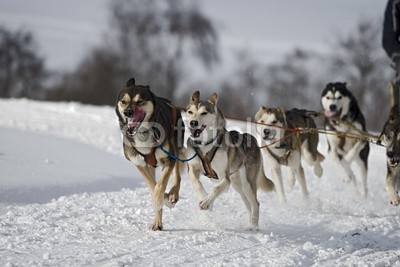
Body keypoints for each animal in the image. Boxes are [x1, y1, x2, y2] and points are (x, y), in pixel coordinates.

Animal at [115, 77, 185, 230]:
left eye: (140, 101)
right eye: (123, 101)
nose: (127, 112)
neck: (143, 133)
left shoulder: (168, 159)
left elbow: (160, 185)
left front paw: (163, 198)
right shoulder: (139, 163)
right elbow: (153, 186)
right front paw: (161, 200)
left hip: (176, 148)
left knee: (177, 174)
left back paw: (172, 195)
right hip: (150, 165)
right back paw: (157, 222)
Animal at [185, 91, 276, 229]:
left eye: (204, 113)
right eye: (190, 112)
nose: (193, 123)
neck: (205, 144)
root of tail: (254, 141)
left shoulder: (225, 178)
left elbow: (216, 188)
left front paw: (207, 202)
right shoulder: (193, 168)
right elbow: (197, 183)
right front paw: (204, 198)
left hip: (247, 183)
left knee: (255, 204)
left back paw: (253, 226)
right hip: (238, 186)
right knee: (248, 205)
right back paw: (250, 222)